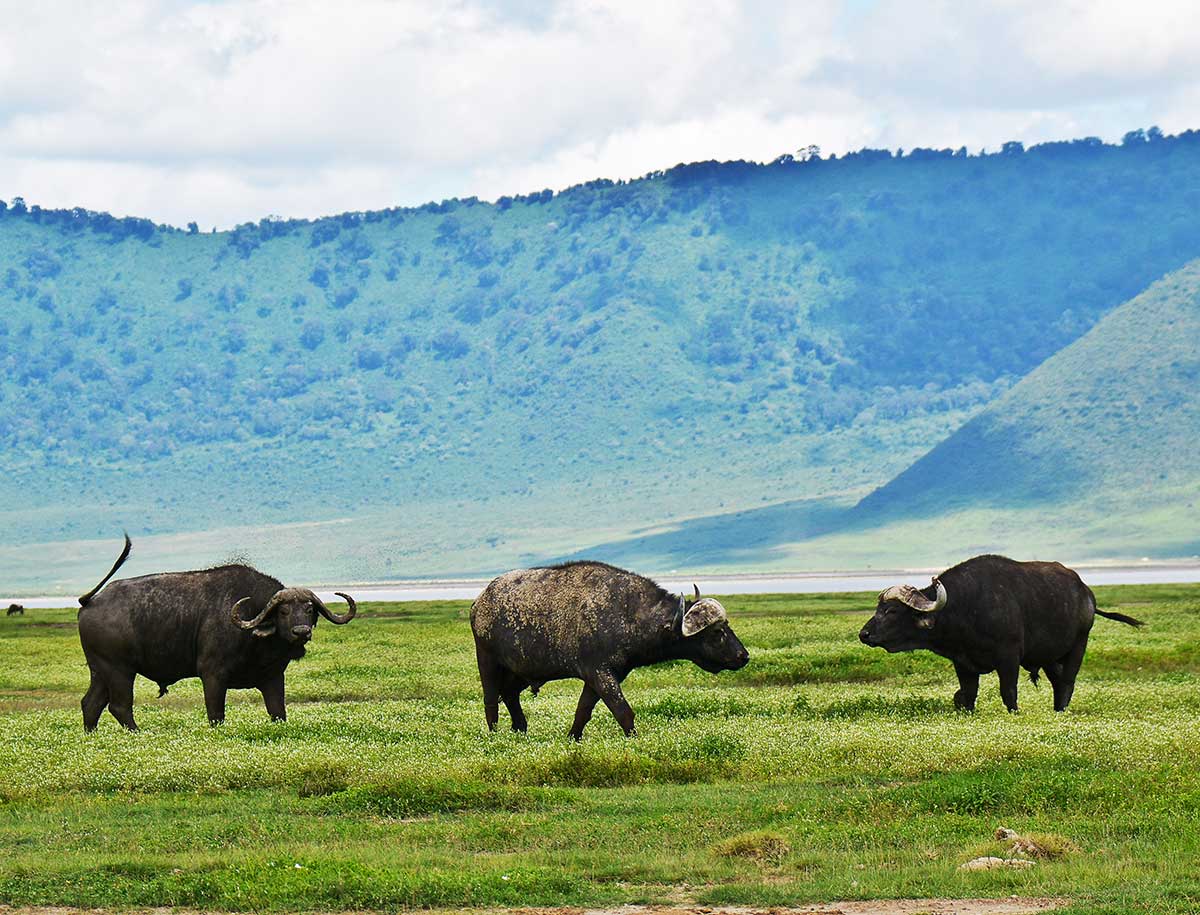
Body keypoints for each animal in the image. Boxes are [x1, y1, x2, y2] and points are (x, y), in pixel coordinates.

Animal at [75, 530, 352, 730]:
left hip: (101, 671)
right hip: (120, 670)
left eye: (309, 609)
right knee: (119, 706)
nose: (301, 632)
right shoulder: (212, 675)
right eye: (283, 611)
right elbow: (216, 714)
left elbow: (278, 712)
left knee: (91, 704)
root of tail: (91, 601)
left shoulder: (273, 677)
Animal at [470, 557, 744, 739]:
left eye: (727, 626)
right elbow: (622, 710)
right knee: (491, 699)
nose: (743, 656)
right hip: (487, 660)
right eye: (716, 632)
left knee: (509, 694)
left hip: (521, 670)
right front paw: (634, 738)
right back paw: (495, 735)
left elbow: (583, 710)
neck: (628, 613)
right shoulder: (600, 673)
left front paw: (573, 737)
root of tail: (479, 602)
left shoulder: (602, 677)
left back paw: (520, 729)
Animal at [854, 552, 1142, 710]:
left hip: (1078, 646)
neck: (965, 608)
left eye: (892, 611)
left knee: (1068, 683)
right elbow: (966, 696)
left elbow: (1008, 693)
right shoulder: (963, 664)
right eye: (878, 607)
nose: (864, 634)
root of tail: (1086, 595)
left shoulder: (1009, 657)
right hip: (1049, 657)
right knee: (1058, 683)